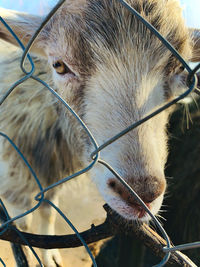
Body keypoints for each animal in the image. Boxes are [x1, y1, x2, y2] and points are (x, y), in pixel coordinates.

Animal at [0, 0, 199, 267]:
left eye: (180, 70)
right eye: (59, 66)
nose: (140, 194)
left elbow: (48, 212)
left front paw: (49, 255)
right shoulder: (14, 183)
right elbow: (22, 222)